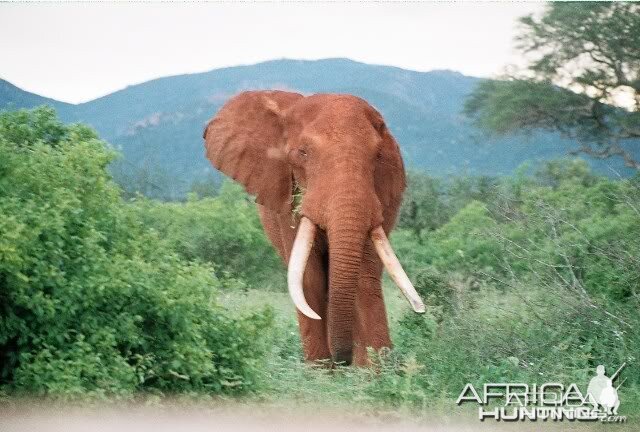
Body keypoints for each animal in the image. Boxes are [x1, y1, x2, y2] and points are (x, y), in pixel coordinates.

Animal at [204, 90, 424, 364]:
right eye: (302, 154)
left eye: (378, 157)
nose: (343, 359)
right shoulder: (287, 203)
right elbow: (308, 278)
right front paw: (321, 368)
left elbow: (365, 277)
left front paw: (376, 370)